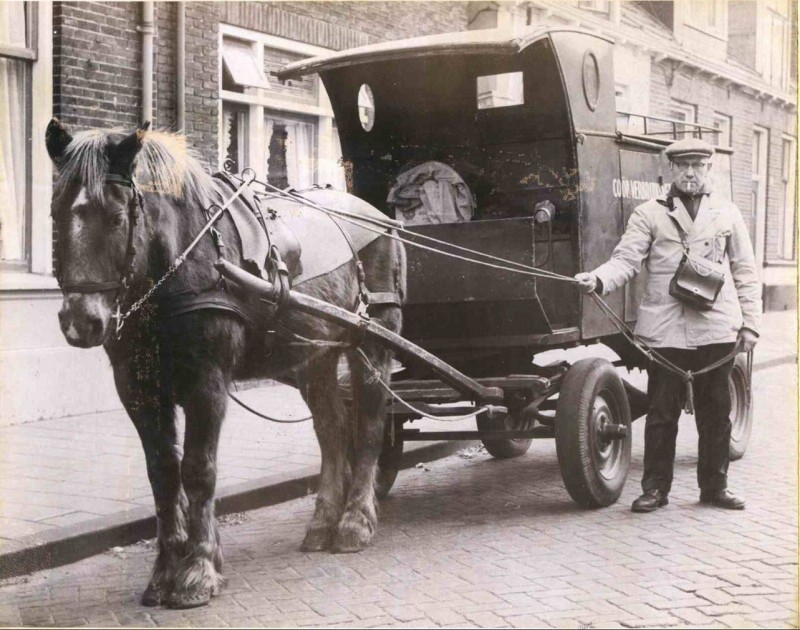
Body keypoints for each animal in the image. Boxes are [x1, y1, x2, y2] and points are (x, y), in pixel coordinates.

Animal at [45, 121, 406, 608]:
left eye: (118, 217)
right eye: (55, 214)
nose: (82, 321)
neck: (184, 258)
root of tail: (382, 220)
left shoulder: (208, 383)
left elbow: (198, 470)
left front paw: (198, 572)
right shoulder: (138, 389)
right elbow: (163, 475)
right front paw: (164, 574)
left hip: (372, 345)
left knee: (368, 426)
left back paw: (355, 523)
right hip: (316, 356)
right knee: (332, 432)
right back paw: (321, 525)